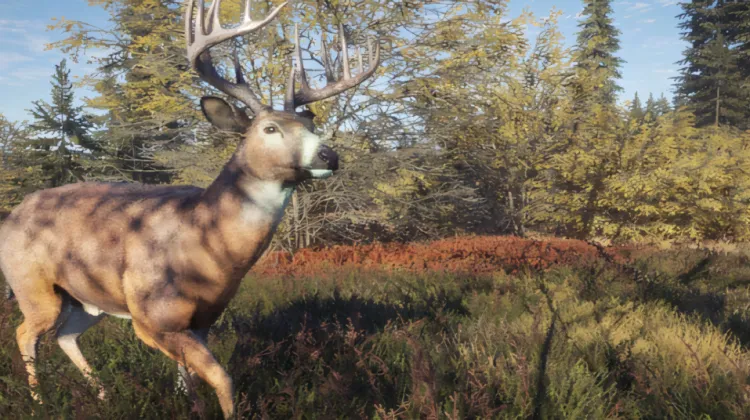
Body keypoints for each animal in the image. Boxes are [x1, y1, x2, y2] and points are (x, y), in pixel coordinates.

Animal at [0, 0, 380, 417]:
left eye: (311, 126)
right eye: (269, 129)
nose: (330, 155)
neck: (206, 245)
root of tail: (10, 216)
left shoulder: (203, 318)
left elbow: (188, 378)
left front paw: (188, 404)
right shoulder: (152, 317)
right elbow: (223, 379)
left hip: (85, 298)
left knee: (65, 336)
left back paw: (101, 394)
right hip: (33, 286)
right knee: (25, 334)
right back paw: (38, 400)